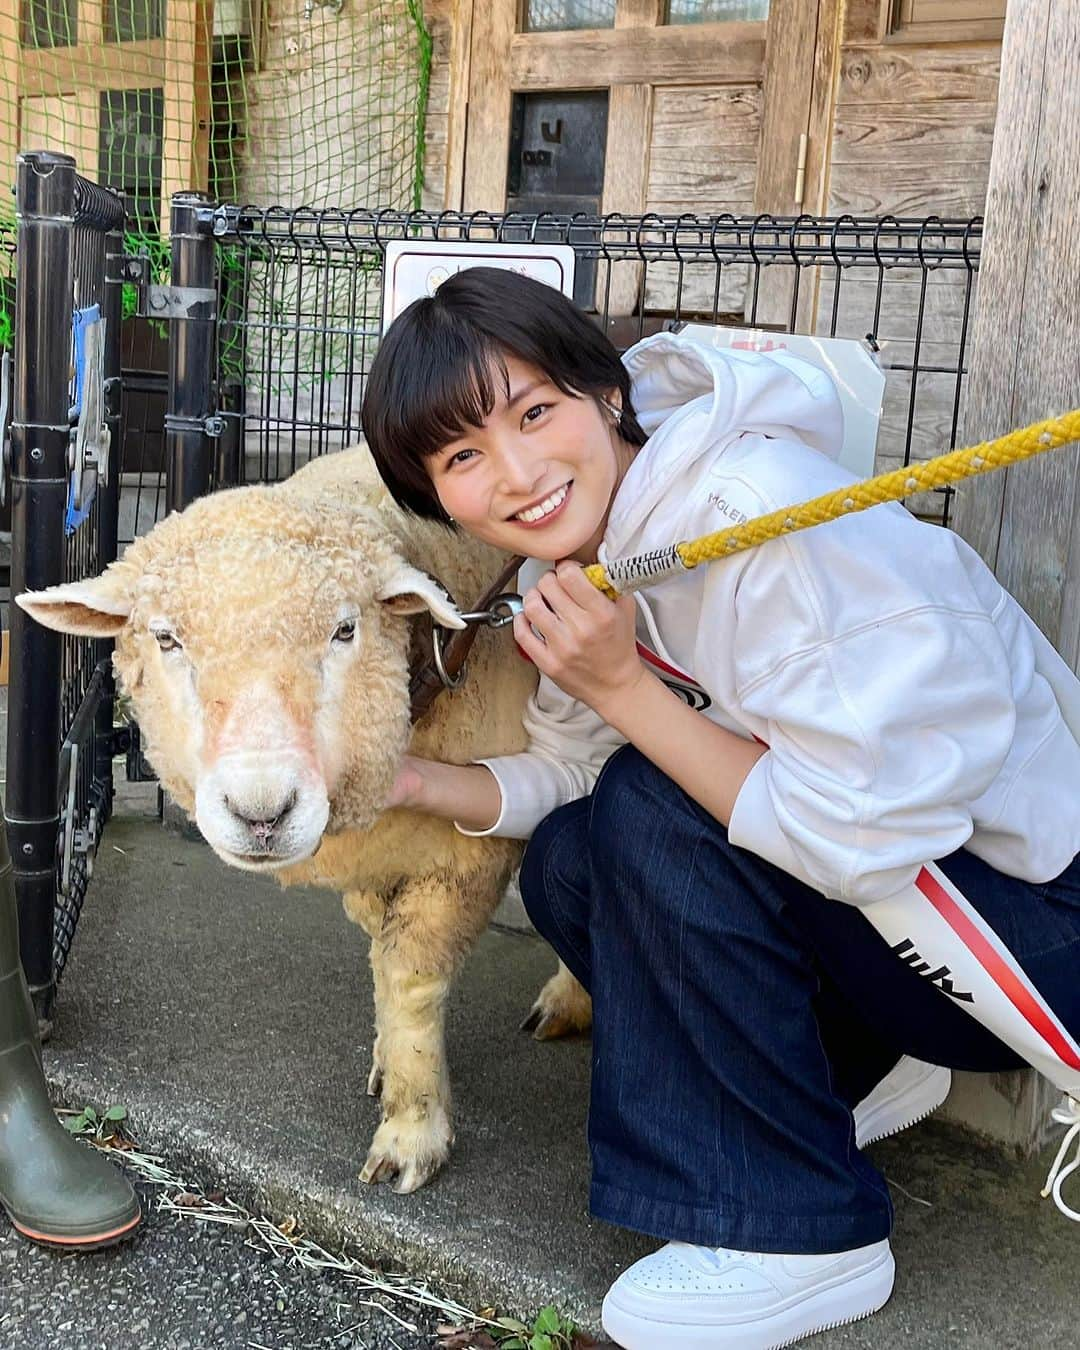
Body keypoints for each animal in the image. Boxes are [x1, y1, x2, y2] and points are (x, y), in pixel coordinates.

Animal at [16, 450, 591, 1193]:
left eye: (346, 630)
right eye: (167, 639)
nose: (262, 813)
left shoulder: (463, 859)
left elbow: (411, 982)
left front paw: (413, 1127)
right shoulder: (376, 855)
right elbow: (380, 954)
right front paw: (385, 1061)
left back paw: (571, 1000)